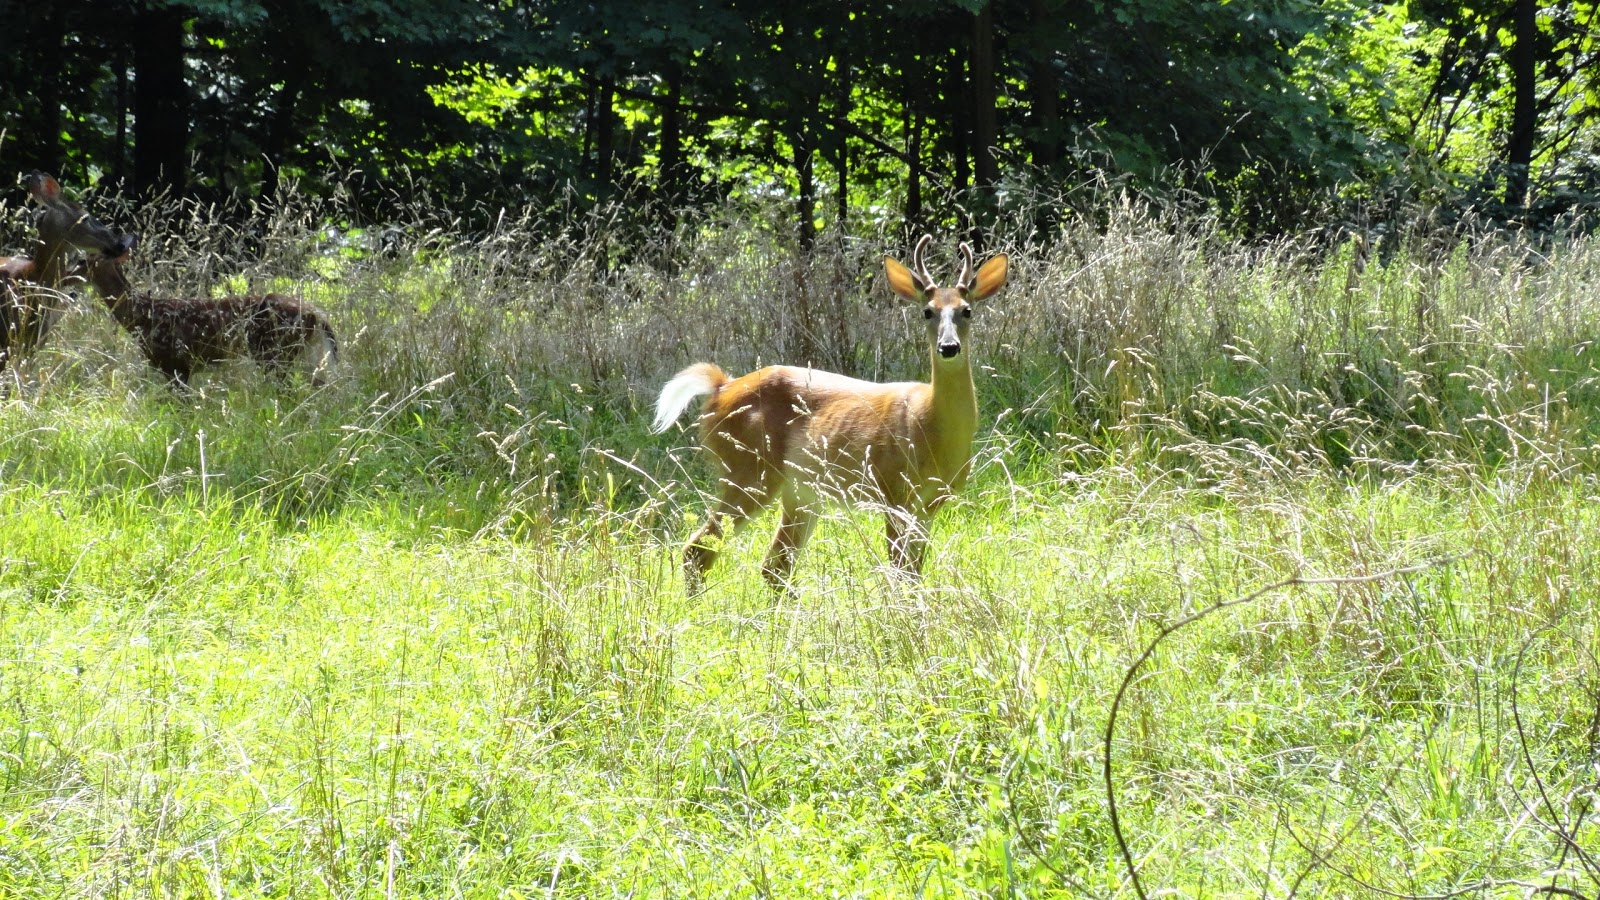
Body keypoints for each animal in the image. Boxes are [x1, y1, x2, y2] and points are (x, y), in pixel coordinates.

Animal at [73, 232, 342, 387]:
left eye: (81, 260)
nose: (66, 275)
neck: (142, 316)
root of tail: (318, 315)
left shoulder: (175, 362)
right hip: (305, 351)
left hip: (275, 352)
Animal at [646, 235, 998, 592]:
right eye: (928, 312)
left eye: (966, 310)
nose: (949, 347)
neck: (929, 422)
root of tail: (721, 387)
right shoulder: (893, 490)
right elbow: (899, 573)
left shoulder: (931, 502)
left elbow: (913, 573)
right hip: (748, 469)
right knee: (700, 550)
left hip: (799, 490)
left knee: (774, 565)